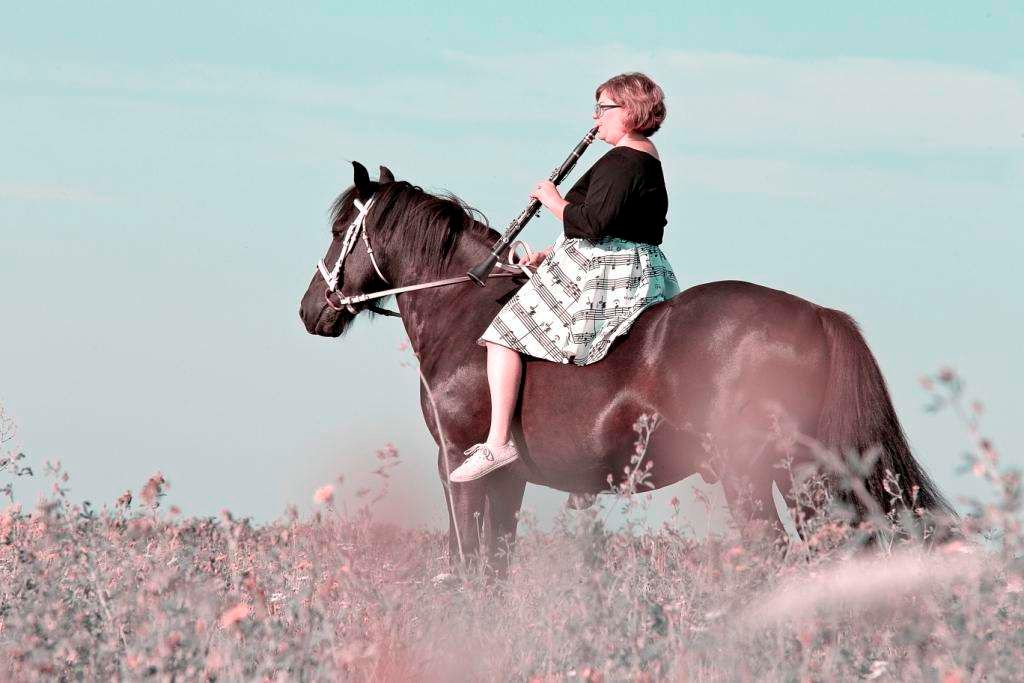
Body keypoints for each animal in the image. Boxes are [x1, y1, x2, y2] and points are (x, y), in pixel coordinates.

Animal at [299, 161, 952, 572]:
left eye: (339, 228)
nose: (311, 310)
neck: (463, 308)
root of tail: (816, 314)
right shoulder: (510, 482)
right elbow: (497, 566)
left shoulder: (457, 466)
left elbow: (465, 564)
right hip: (809, 477)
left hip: (752, 474)